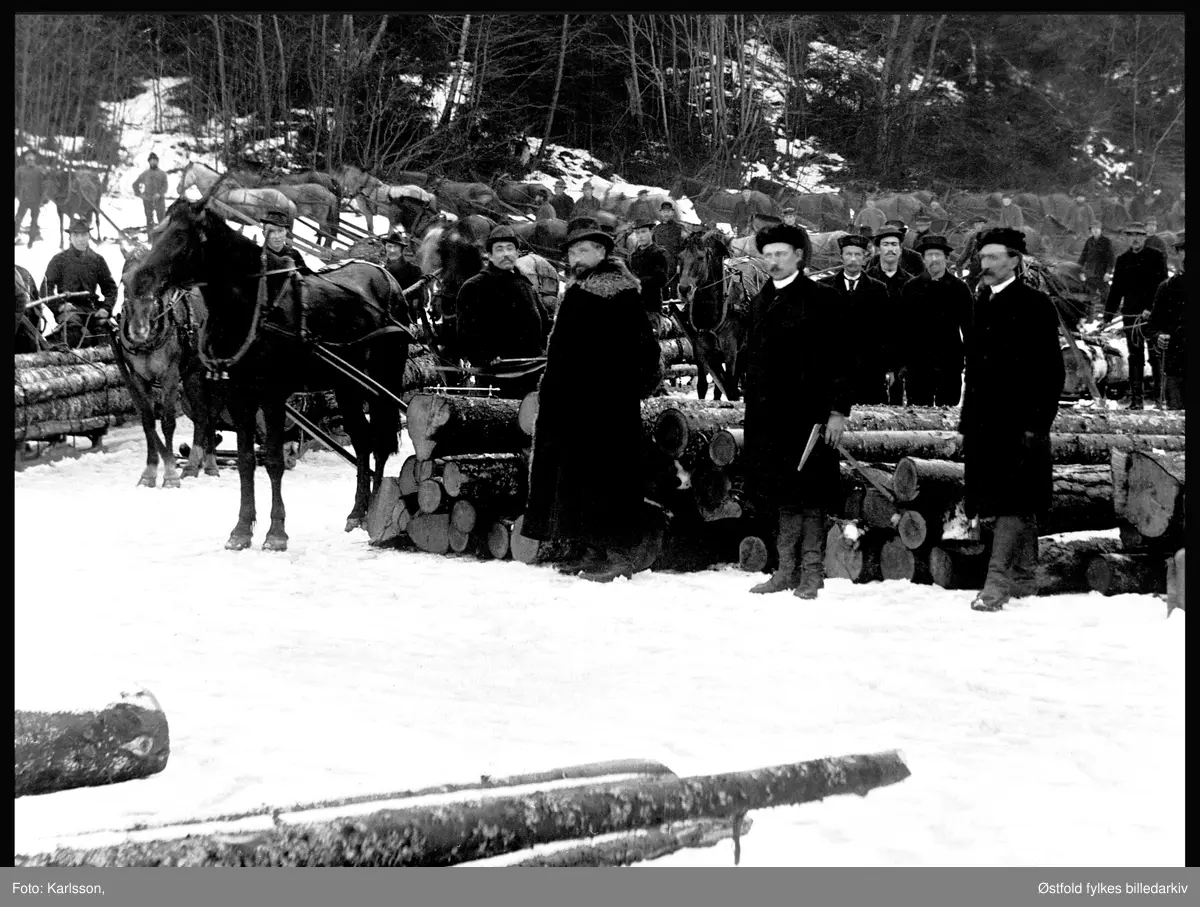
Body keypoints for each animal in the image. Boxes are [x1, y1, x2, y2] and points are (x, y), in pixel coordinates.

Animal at [114, 274, 220, 489]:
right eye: (123, 282)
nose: (138, 329)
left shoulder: (169, 376)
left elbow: (168, 422)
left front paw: (170, 475)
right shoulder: (138, 378)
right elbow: (148, 422)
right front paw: (149, 473)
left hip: (209, 374)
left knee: (211, 413)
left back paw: (210, 464)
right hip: (191, 376)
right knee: (201, 414)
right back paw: (192, 465)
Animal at [681, 226, 753, 400]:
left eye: (700, 258)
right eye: (680, 257)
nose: (683, 289)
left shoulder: (730, 351)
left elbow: (731, 388)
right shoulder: (701, 351)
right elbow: (703, 386)